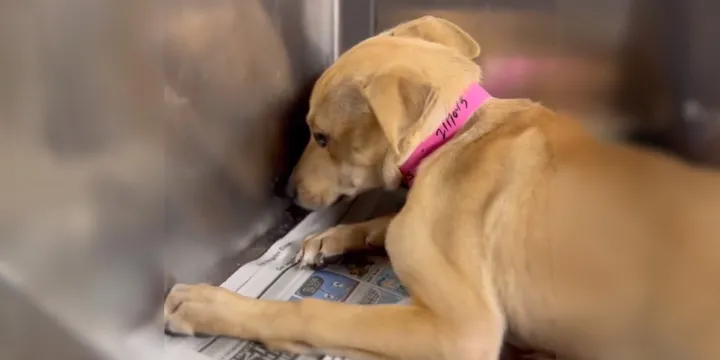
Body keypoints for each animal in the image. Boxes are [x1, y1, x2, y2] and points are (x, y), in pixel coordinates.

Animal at [166, 15, 720, 358]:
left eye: (320, 136)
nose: (284, 192)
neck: (452, 136)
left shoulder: (461, 329)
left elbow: (311, 312)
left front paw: (213, 307)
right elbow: (384, 223)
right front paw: (328, 240)